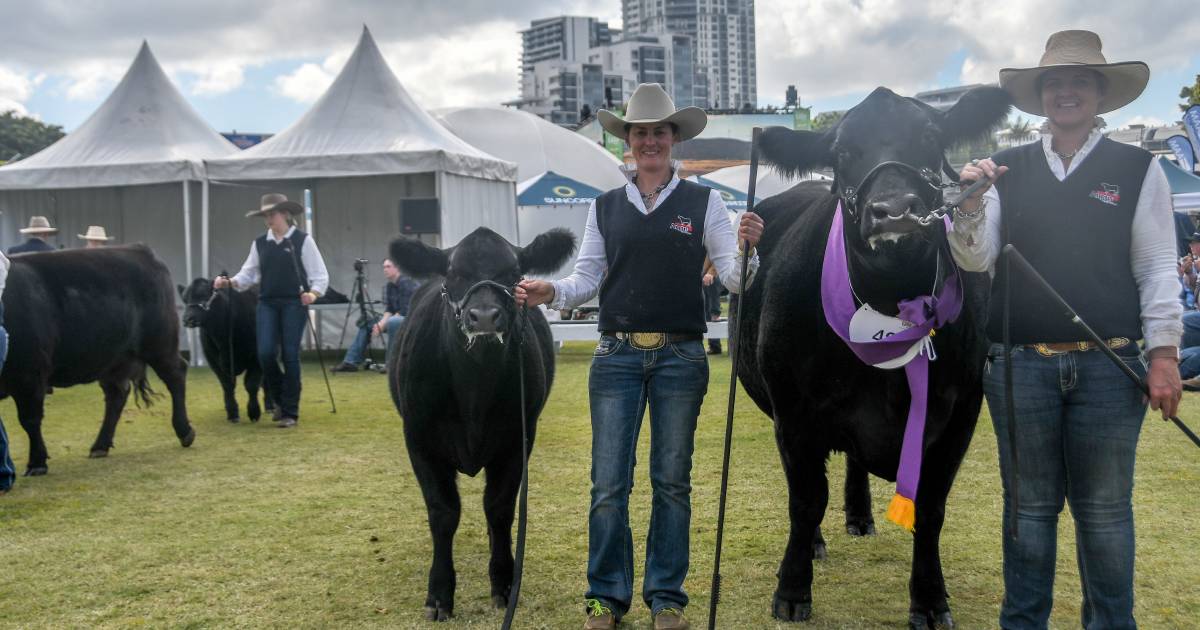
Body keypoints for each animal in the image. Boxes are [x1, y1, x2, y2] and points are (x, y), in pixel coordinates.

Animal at [0, 243, 192, 475]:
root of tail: (139, 250)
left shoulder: (28, 372)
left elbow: (29, 419)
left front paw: (37, 463)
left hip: (159, 343)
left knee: (176, 375)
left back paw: (184, 431)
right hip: (114, 359)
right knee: (117, 395)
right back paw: (100, 445)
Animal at [177, 278, 274, 422]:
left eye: (204, 295)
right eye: (185, 299)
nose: (188, 319)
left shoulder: (256, 357)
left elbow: (251, 384)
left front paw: (253, 412)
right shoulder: (213, 360)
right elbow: (227, 385)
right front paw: (232, 413)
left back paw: (270, 406)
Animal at [384, 225, 571, 619]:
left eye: (513, 273)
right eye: (454, 273)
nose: (484, 316)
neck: (475, 391)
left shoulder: (518, 439)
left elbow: (498, 509)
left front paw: (504, 582)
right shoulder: (418, 438)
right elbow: (443, 513)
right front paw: (439, 594)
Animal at [734, 85, 1008, 624]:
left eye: (931, 136)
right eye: (842, 153)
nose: (895, 209)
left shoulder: (962, 410)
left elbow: (931, 508)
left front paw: (930, 599)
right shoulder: (792, 414)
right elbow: (805, 500)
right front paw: (792, 589)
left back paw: (859, 516)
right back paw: (817, 542)